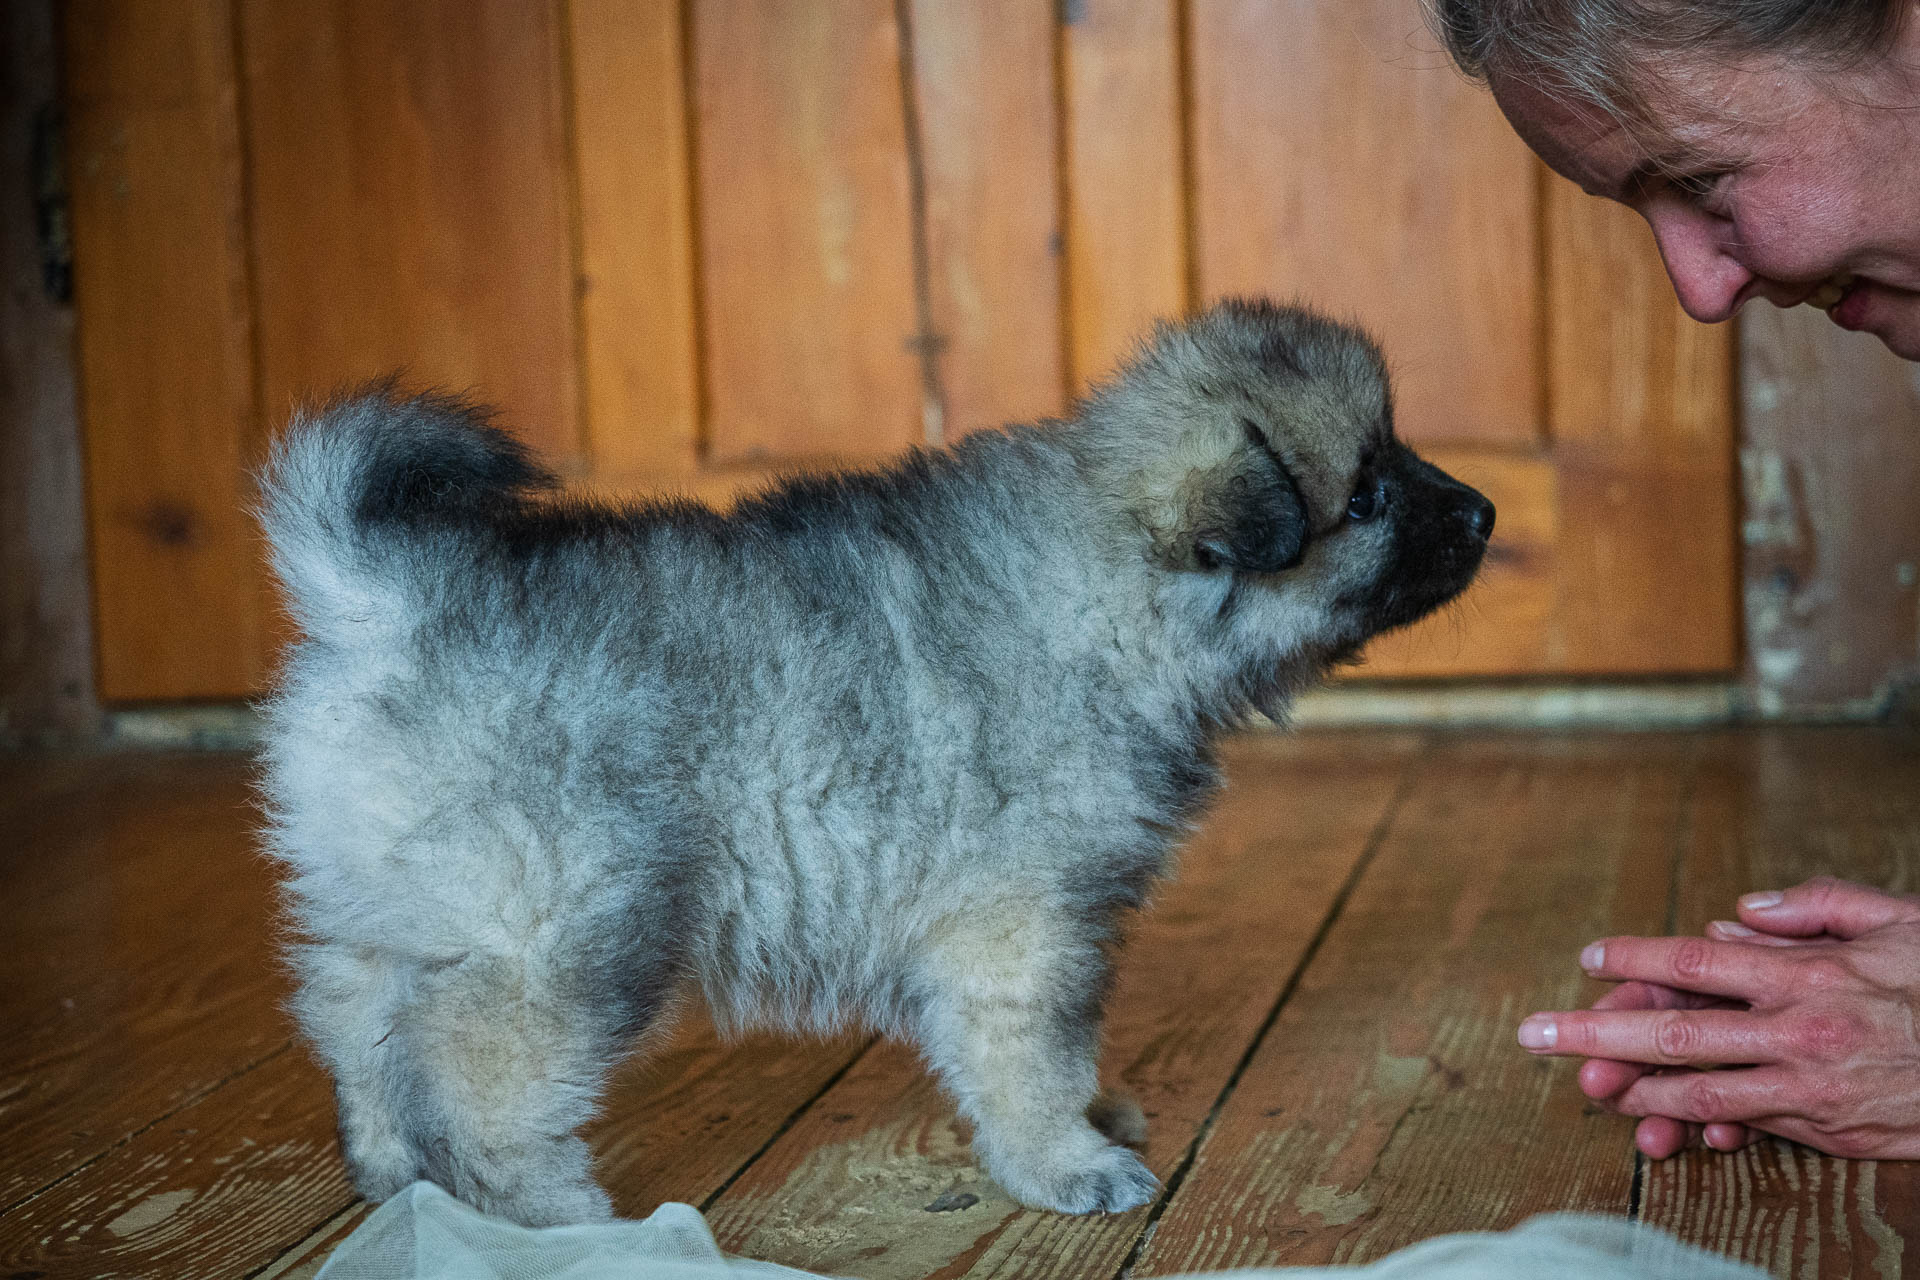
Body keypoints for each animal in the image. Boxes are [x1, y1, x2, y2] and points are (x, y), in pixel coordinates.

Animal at [251, 295, 1482, 1228]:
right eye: (1368, 493)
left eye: (1400, 457)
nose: (1484, 510)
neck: (1112, 592)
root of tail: (383, 596)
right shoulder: (1020, 924)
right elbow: (1030, 1056)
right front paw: (1067, 1159)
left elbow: (1065, 1048)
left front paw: (1094, 1117)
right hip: (564, 927)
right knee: (480, 1079)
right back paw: (556, 1219)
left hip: (391, 897)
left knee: (353, 1015)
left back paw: (389, 1169)